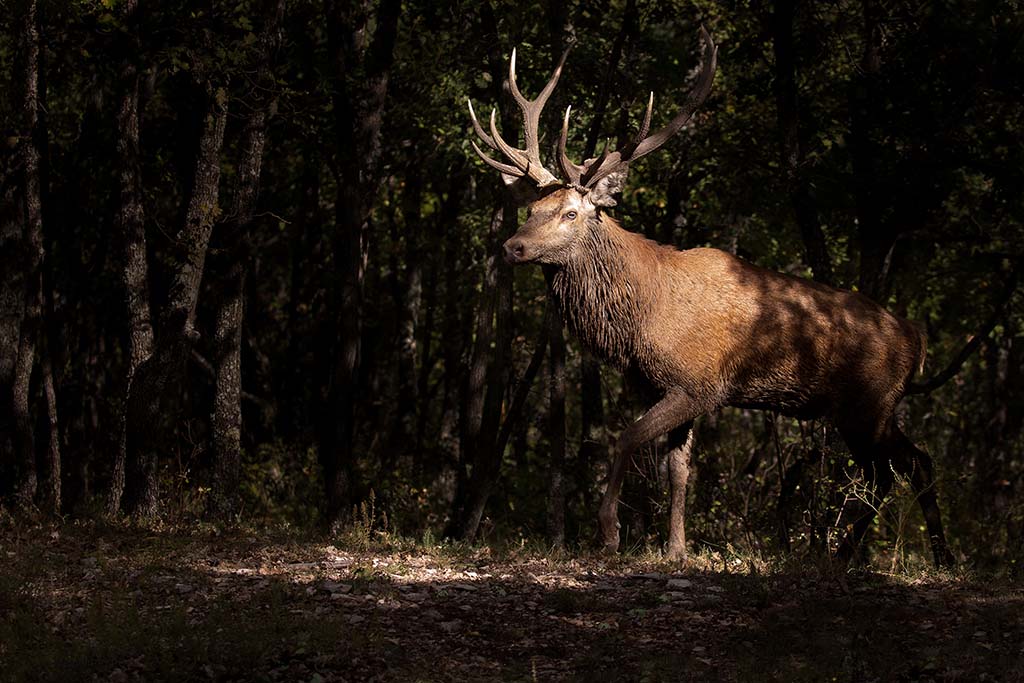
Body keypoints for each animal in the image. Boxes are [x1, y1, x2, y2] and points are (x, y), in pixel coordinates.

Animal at [466, 27, 954, 567]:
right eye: (533, 209)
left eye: (571, 212)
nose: (512, 247)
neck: (640, 319)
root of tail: (918, 338)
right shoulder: (661, 385)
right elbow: (678, 470)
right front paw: (675, 548)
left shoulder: (697, 383)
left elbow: (627, 438)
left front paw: (610, 534)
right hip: (873, 408)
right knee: (912, 463)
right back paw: (918, 555)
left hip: (868, 402)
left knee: (891, 470)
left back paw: (864, 554)